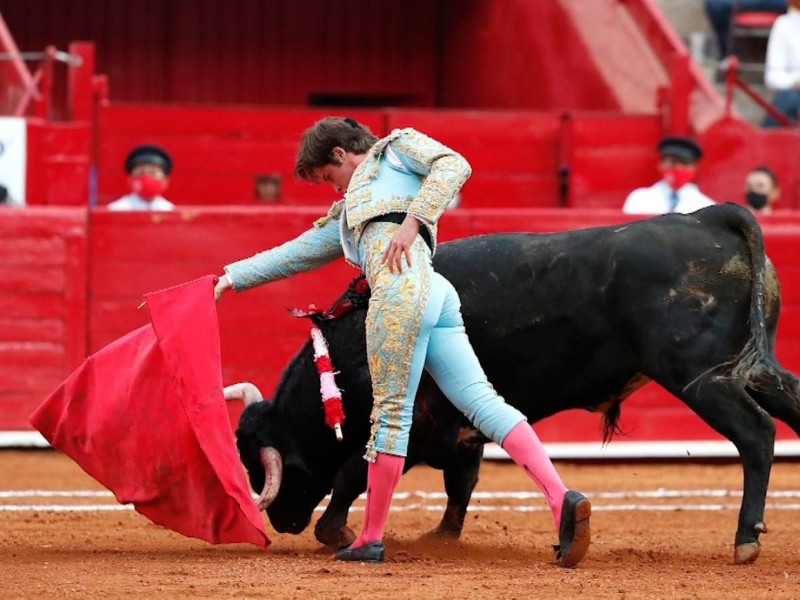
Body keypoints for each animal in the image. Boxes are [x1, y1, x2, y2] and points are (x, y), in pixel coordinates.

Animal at [234, 204, 800, 564]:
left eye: (271, 462)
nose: (281, 521)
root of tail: (709, 217)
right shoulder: (461, 432)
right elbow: (460, 484)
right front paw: (442, 538)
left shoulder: (419, 421)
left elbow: (356, 471)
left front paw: (338, 532)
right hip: (753, 371)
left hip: (699, 377)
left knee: (756, 435)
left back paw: (745, 539)